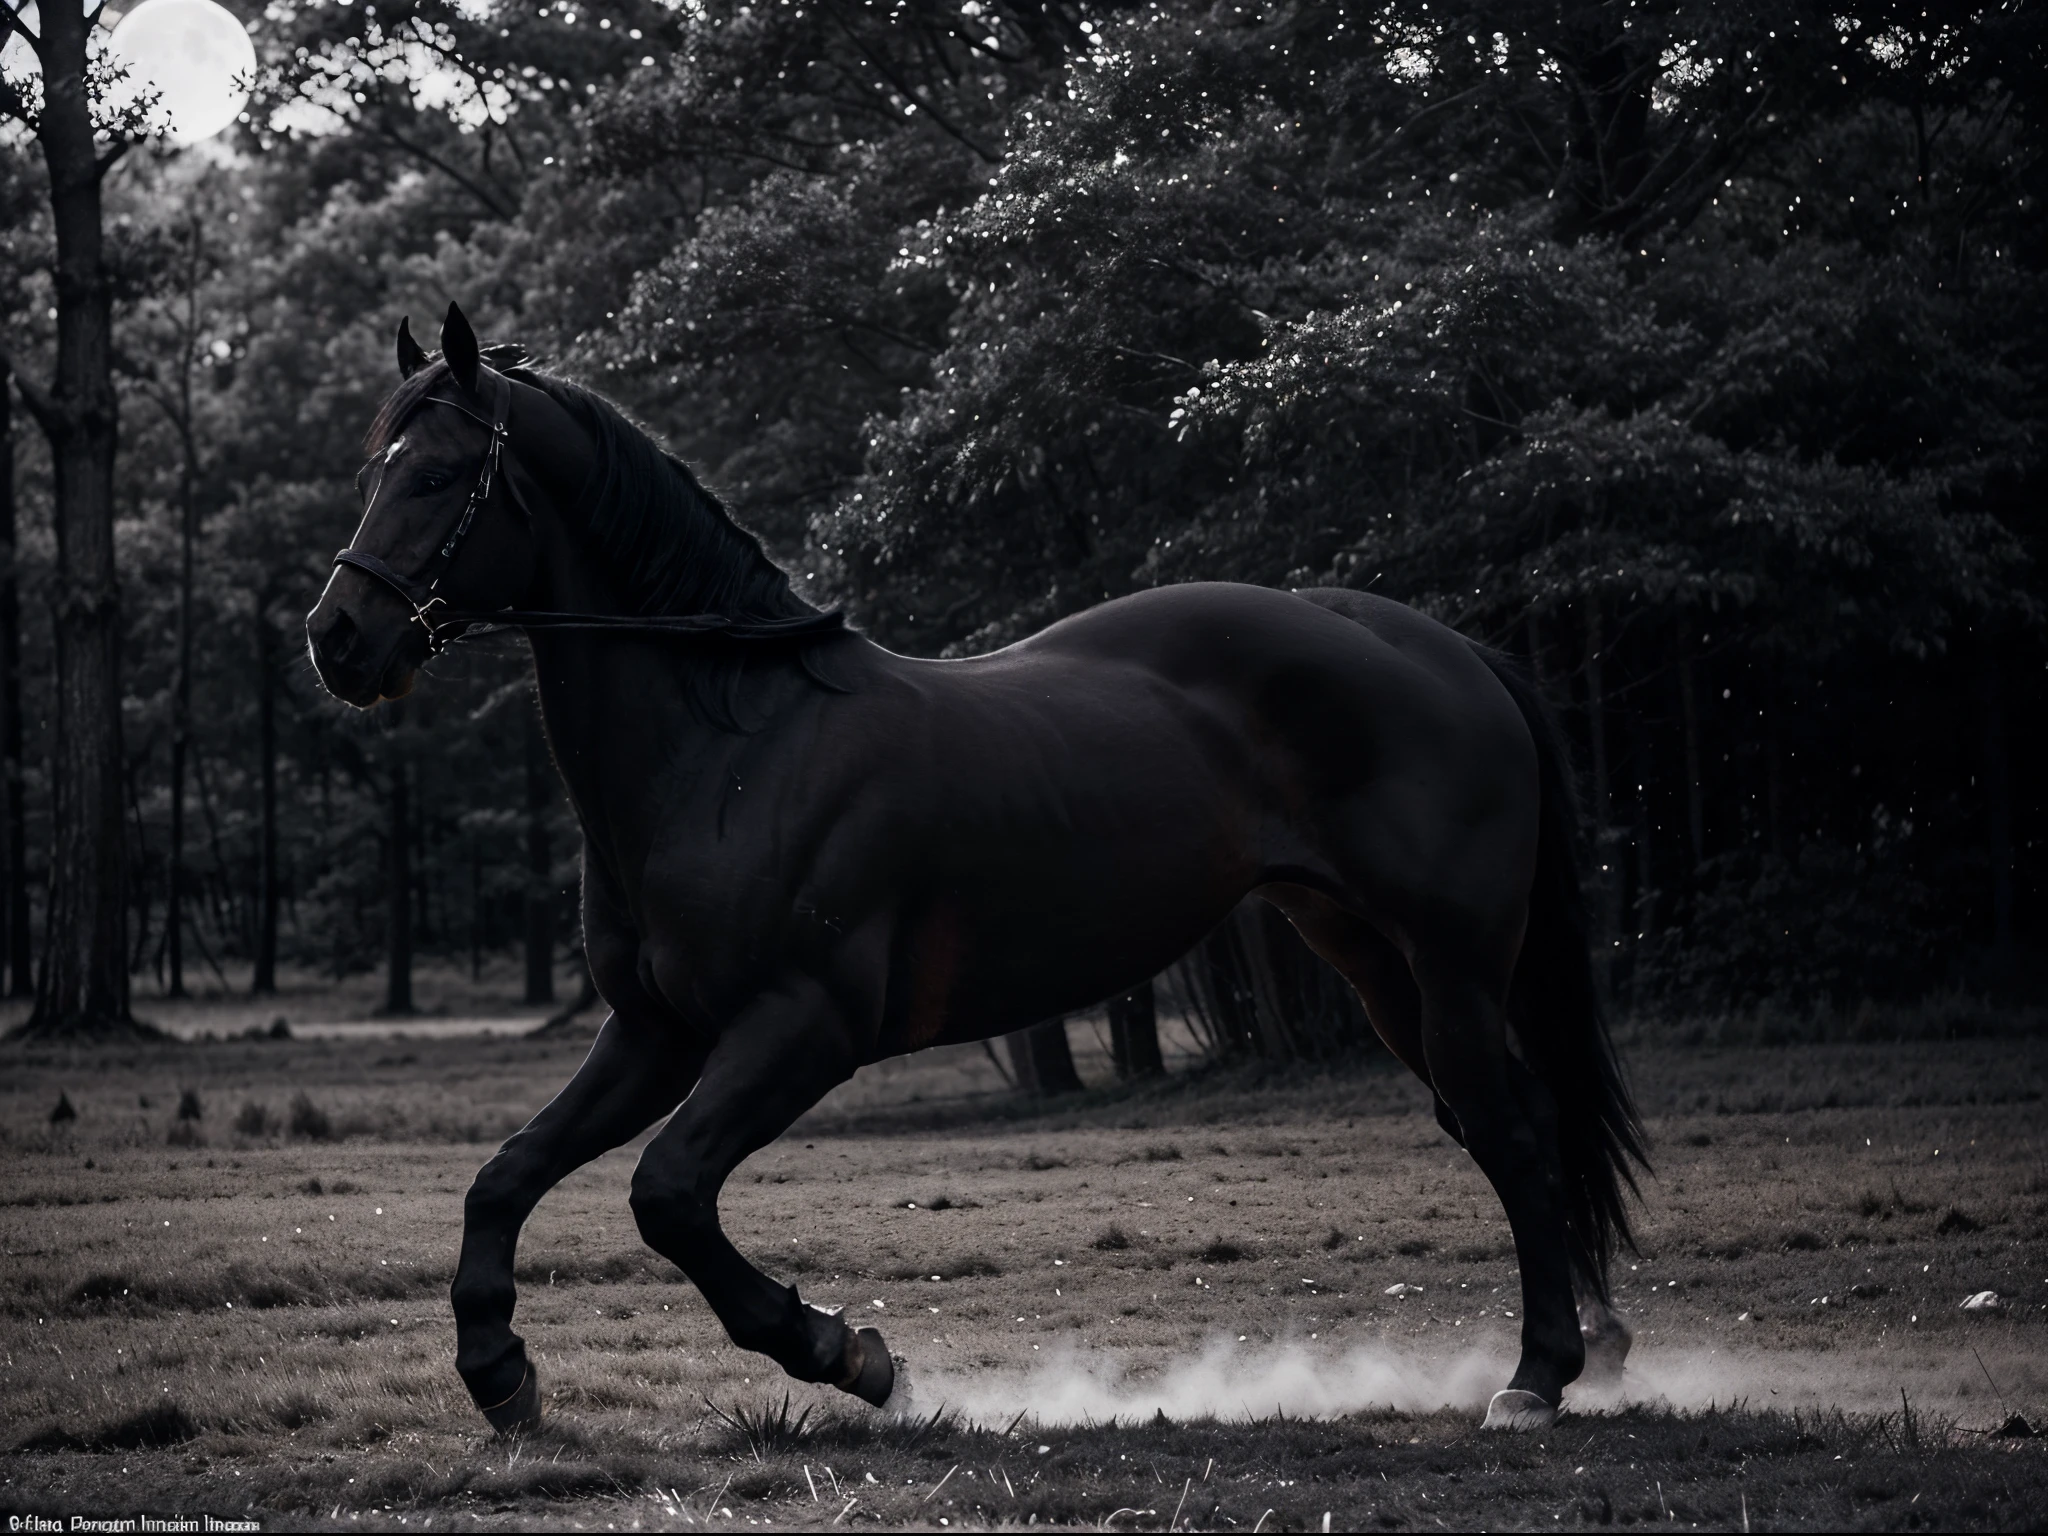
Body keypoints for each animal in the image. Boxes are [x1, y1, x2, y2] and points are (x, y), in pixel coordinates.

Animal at [307, 303, 1646, 1441]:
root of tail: (1444, 651)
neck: (733, 742)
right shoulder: (654, 1035)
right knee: (1506, 1127)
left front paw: (843, 1353)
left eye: (436, 477)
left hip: (1451, 968)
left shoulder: (798, 1029)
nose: (338, 640)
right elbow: (503, 1179)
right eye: (375, 471)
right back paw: (1590, 1344)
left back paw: (1537, 1377)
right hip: (1377, 968)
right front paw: (499, 1373)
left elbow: (668, 1195)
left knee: (1510, 1128)